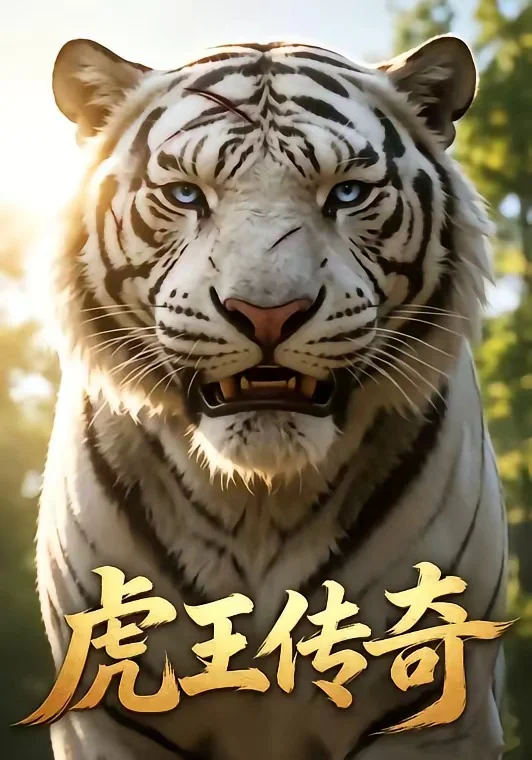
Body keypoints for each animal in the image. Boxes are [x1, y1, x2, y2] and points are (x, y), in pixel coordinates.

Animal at [33, 32, 508, 760]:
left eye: (346, 193)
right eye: (186, 194)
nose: (266, 314)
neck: (257, 501)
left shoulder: (433, 712)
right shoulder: (103, 717)